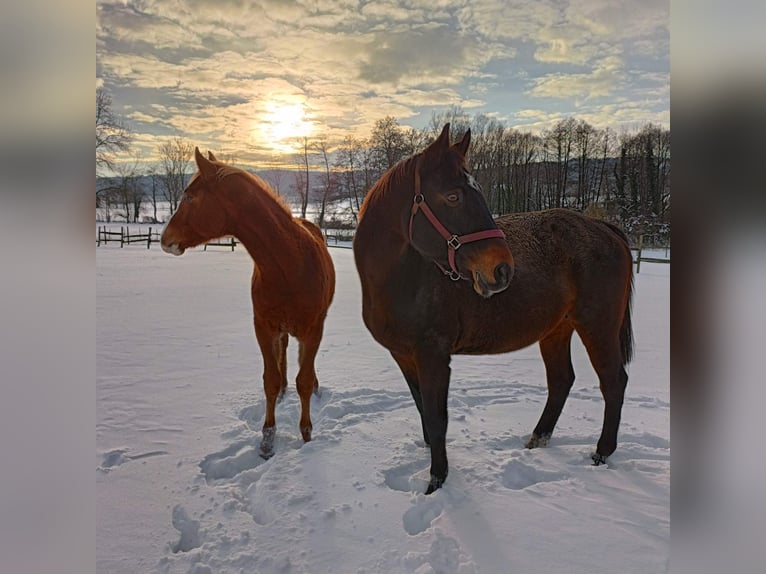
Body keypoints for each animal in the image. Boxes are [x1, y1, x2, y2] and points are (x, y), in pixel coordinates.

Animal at [161, 148, 335, 458]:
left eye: (190, 197)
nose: (164, 239)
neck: (290, 265)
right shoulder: (263, 328)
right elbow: (270, 379)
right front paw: (268, 438)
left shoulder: (313, 329)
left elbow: (304, 380)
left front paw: (306, 434)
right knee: (284, 355)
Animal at [353, 124, 634, 494]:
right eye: (452, 196)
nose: (502, 269)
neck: (403, 279)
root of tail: (605, 228)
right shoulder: (403, 355)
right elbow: (423, 410)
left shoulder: (434, 356)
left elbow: (437, 418)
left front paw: (437, 480)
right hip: (557, 329)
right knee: (562, 380)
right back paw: (538, 438)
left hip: (597, 326)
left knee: (613, 381)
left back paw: (601, 452)